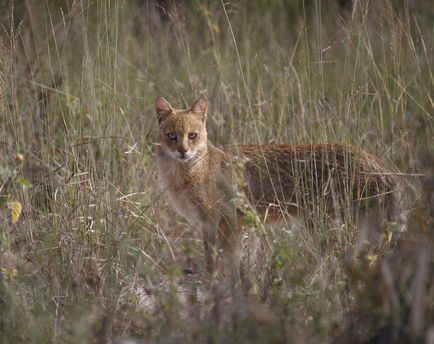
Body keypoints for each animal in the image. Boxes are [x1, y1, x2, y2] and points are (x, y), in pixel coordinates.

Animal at [154, 95, 402, 276]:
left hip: (327, 224)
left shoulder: (227, 223)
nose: (183, 151)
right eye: (172, 136)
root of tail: (378, 162)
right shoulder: (207, 227)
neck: (187, 176)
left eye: (192, 135)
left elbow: (227, 262)